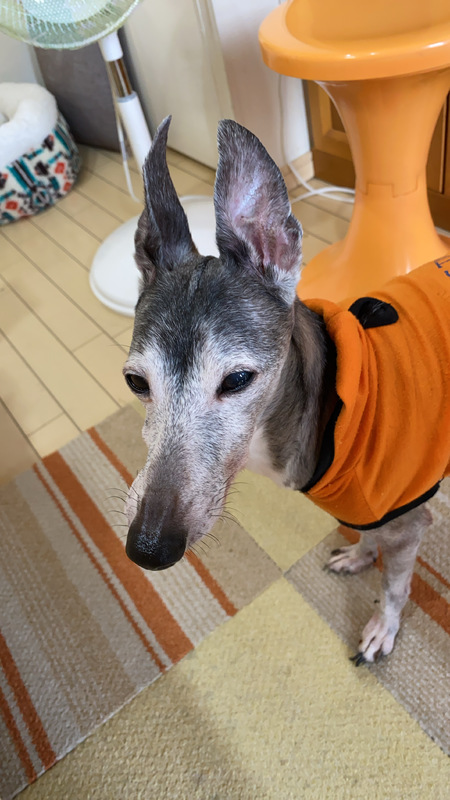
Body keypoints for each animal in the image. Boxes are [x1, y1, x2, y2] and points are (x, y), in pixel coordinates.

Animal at [123, 116, 450, 665]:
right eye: (135, 382)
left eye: (237, 380)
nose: (148, 549)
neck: (329, 408)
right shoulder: (370, 506)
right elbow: (368, 536)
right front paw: (359, 556)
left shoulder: (406, 519)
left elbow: (396, 583)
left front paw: (383, 628)